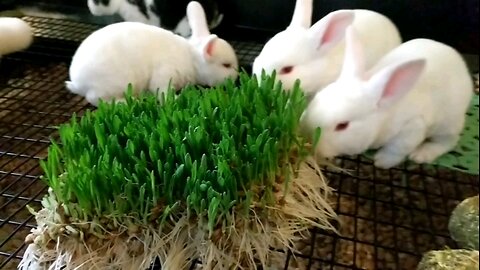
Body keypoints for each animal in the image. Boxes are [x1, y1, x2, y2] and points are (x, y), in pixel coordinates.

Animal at [302, 25, 474, 169]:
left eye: (342, 126)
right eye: (316, 98)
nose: (308, 138)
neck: (383, 120)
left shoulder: (413, 125)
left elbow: (397, 148)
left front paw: (382, 161)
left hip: (448, 123)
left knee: (448, 142)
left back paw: (421, 154)